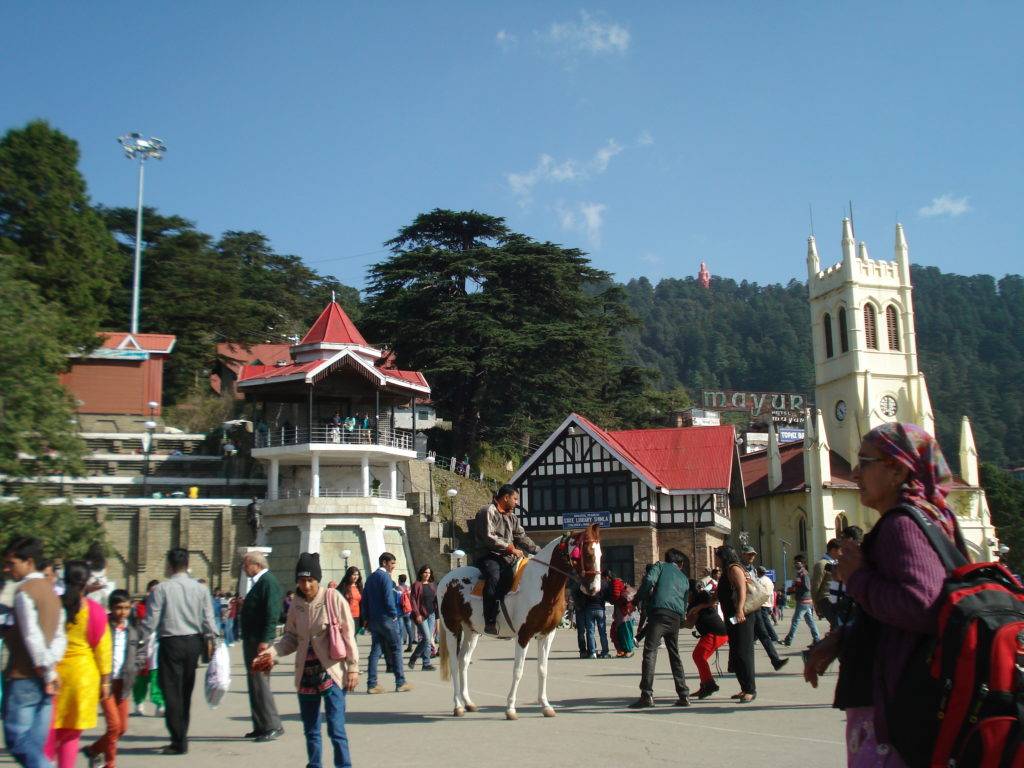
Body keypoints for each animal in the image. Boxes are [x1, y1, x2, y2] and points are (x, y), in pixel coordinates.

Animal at [438, 524, 598, 720]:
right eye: (587, 554)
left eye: (599, 554)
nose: (593, 588)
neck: (541, 584)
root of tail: (447, 579)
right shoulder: (524, 635)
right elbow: (518, 671)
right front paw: (511, 709)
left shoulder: (547, 634)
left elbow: (542, 669)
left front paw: (546, 705)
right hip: (452, 628)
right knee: (454, 663)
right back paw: (458, 705)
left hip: (471, 631)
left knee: (463, 662)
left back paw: (468, 702)